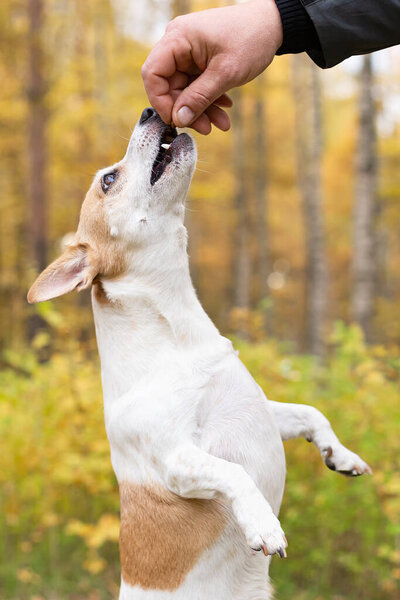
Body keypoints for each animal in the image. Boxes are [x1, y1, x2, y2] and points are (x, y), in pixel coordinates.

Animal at [28, 109, 372, 600]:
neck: (179, 335)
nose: (150, 111)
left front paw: (339, 454)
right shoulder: (177, 460)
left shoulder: (264, 411)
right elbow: (235, 474)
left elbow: (311, 412)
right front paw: (263, 523)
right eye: (108, 180)